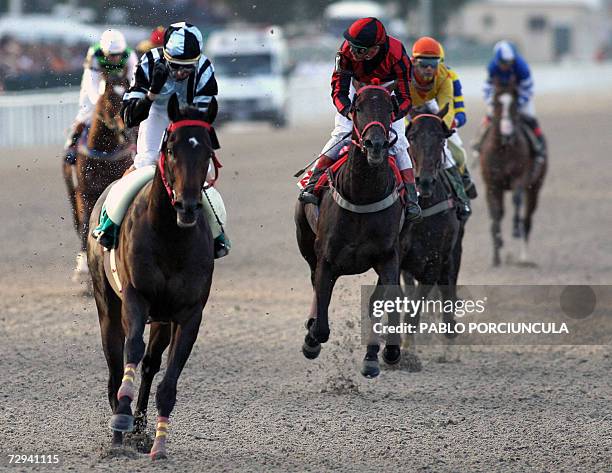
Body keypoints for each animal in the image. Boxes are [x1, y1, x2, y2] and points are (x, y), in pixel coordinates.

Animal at [63, 72, 133, 282]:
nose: (126, 127)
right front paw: (83, 268)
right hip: (72, 195)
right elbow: (86, 224)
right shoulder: (85, 193)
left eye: (128, 92)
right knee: (79, 223)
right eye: (109, 97)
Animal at [86, 94, 215, 460]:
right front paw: (120, 426)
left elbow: (167, 381)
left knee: (149, 364)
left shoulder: (188, 313)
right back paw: (121, 425)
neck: (170, 238)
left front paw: (157, 443)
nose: (187, 206)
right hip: (107, 305)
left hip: (162, 319)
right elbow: (131, 350)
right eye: (170, 148)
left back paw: (140, 430)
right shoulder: (136, 297)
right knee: (116, 363)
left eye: (208, 149)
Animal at [296, 85, 406, 378]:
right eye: (357, 108)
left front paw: (383, 352)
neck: (362, 196)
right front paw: (311, 339)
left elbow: (383, 300)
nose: (375, 144)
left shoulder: (388, 257)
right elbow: (322, 324)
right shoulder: (326, 260)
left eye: (390, 108)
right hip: (306, 245)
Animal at [478, 79, 544, 268]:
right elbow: (496, 214)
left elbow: (516, 199)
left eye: (514, 104)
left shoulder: (520, 178)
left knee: (527, 220)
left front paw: (514, 229)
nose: (507, 131)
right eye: (495, 103)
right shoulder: (492, 184)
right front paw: (496, 252)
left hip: (535, 189)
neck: (504, 149)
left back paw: (524, 257)